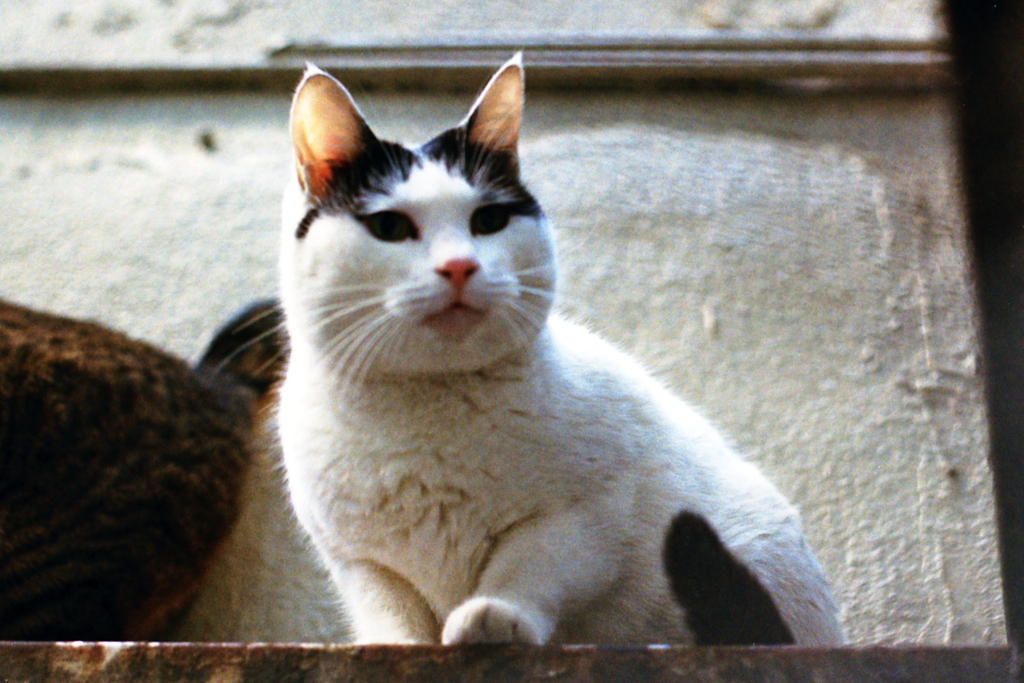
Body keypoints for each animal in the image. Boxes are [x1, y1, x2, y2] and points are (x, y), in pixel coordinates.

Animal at [276, 53, 843, 647]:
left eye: (488, 220)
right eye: (388, 226)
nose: (459, 266)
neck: (421, 418)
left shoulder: (586, 515)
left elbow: (528, 565)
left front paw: (494, 615)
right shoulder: (359, 562)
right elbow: (392, 612)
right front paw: (398, 645)